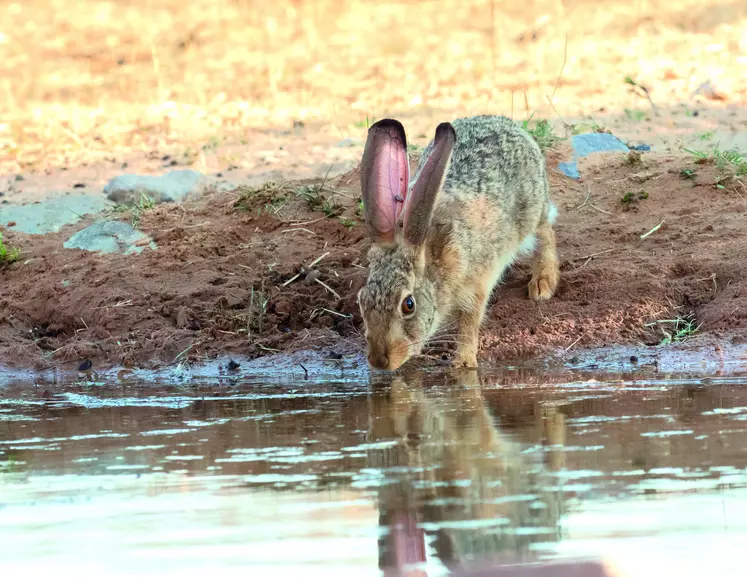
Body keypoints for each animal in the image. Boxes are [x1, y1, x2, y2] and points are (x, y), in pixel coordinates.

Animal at [358, 115, 560, 372]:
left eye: (408, 305)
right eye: (361, 300)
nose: (379, 362)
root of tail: (509, 124)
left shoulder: (476, 285)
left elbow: (469, 324)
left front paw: (463, 363)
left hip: (531, 211)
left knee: (545, 231)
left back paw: (543, 284)